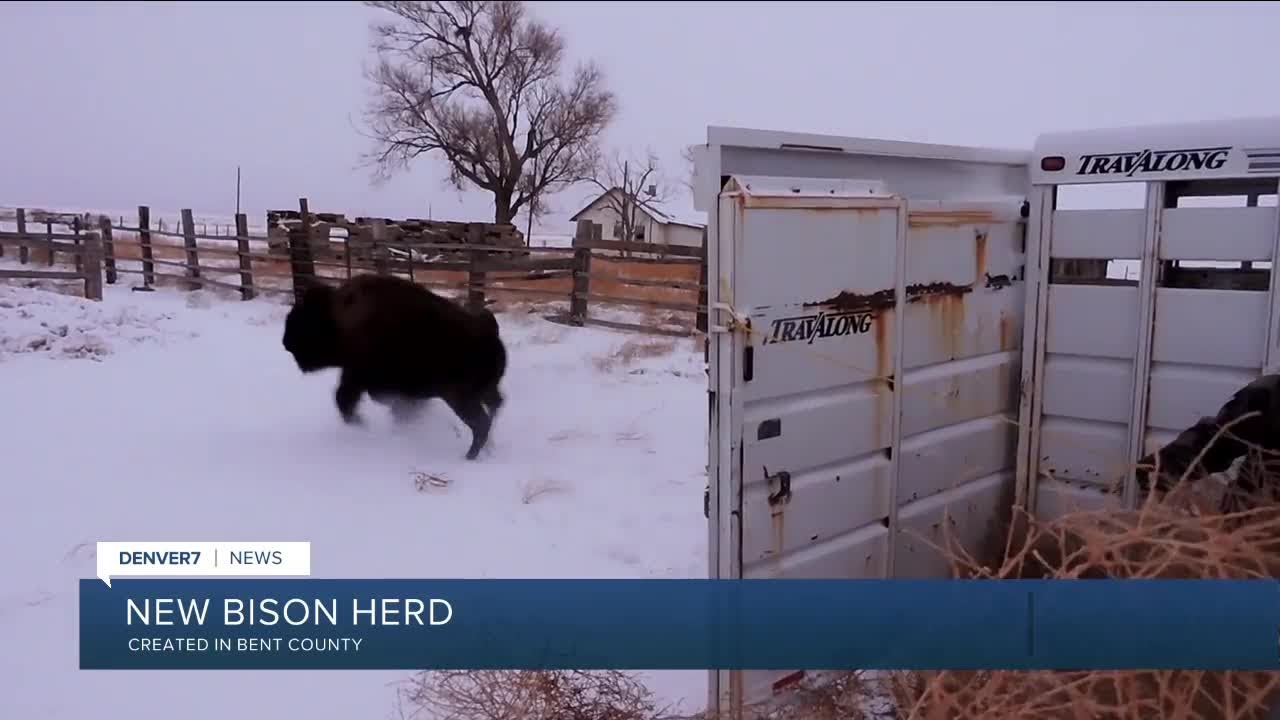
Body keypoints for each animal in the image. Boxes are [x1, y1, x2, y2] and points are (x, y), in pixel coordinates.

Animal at [281, 274, 506, 460]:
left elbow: (344, 399)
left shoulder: (357, 375)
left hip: (459, 397)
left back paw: (468, 457)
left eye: (303, 318)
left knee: (481, 423)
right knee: (494, 409)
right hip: (482, 392)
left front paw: (361, 425)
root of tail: (489, 333)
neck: (338, 316)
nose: (285, 342)